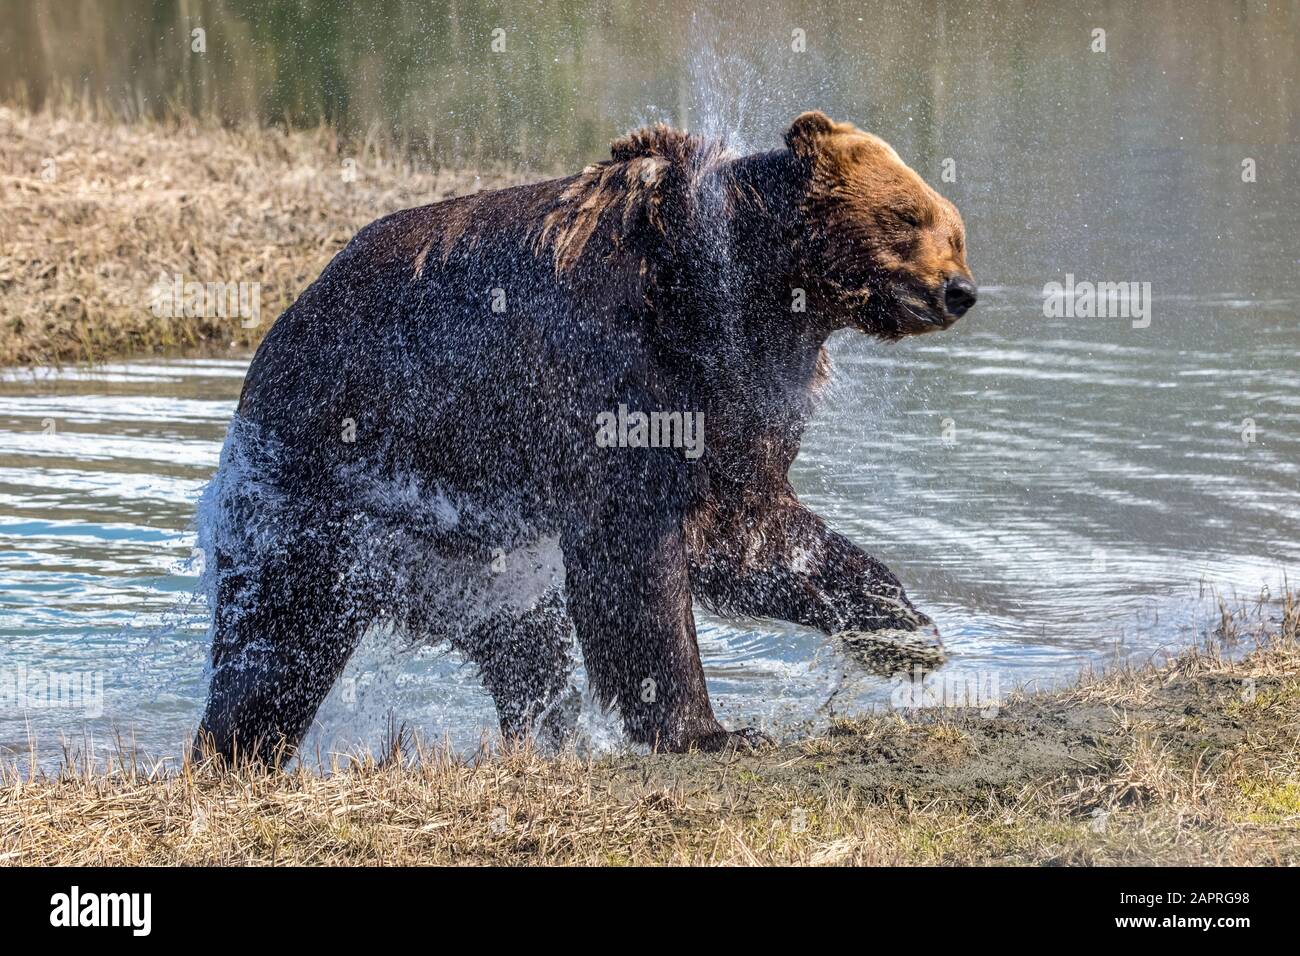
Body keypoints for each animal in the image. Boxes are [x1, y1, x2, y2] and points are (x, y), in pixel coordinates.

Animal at [192, 110, 977, 764]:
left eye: (955, 229)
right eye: (908, 215)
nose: (959, 290)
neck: (748, 299)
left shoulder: (740, 402)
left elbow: (752, 531)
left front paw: (907, 633)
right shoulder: (625, 376)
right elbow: (639, 564)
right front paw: (709, 729)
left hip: (479, 563)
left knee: (526, 652)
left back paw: (545, 737)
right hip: (324, 493)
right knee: (276, 648)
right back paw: (232, 753)